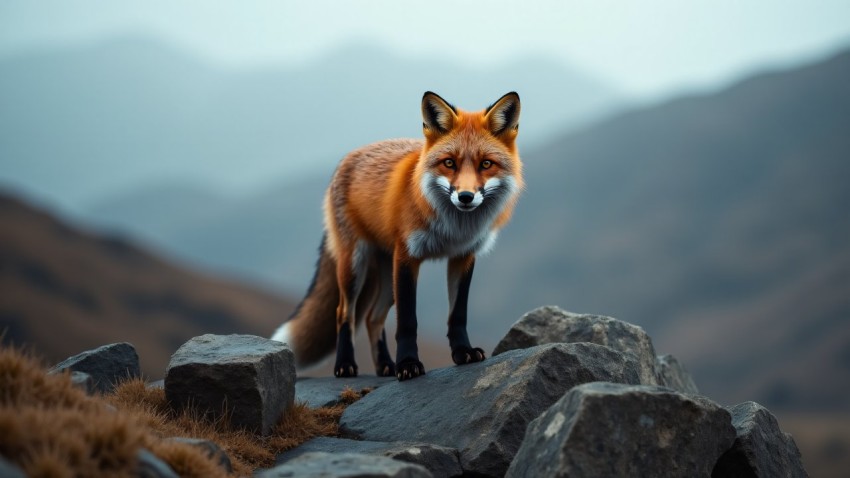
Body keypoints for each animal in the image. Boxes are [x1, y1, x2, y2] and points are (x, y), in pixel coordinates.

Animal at [272, 91, 524, 380]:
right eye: (449, 162)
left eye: (486, 164)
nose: (465, 197)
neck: (453, 228)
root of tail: (348, 157)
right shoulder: (407, 256)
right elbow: (407, 321)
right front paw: (408, 364)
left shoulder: (463, 256)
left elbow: (457, 314)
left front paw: (463, 353)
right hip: (355, 266)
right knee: (344, 313)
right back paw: (345, 365)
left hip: (386, 275)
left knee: (372, 317)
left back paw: (385, 366)